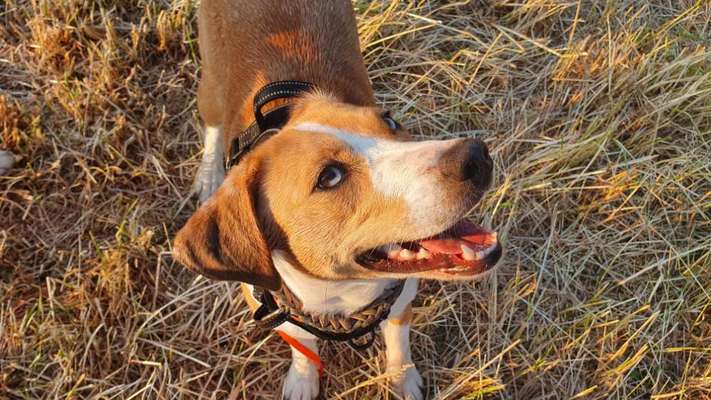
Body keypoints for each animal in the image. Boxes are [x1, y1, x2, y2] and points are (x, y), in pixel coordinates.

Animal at [174, 1, 500, 398]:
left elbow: (398, 345)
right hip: (209, 85)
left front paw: (401, 379)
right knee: (213, 126)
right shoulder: (276, 313)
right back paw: (209, 176)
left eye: (390, 121)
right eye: (329, 177)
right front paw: (303, 380)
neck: (341, 297)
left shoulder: (401, 300)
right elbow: (303, 347)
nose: (476, 156)